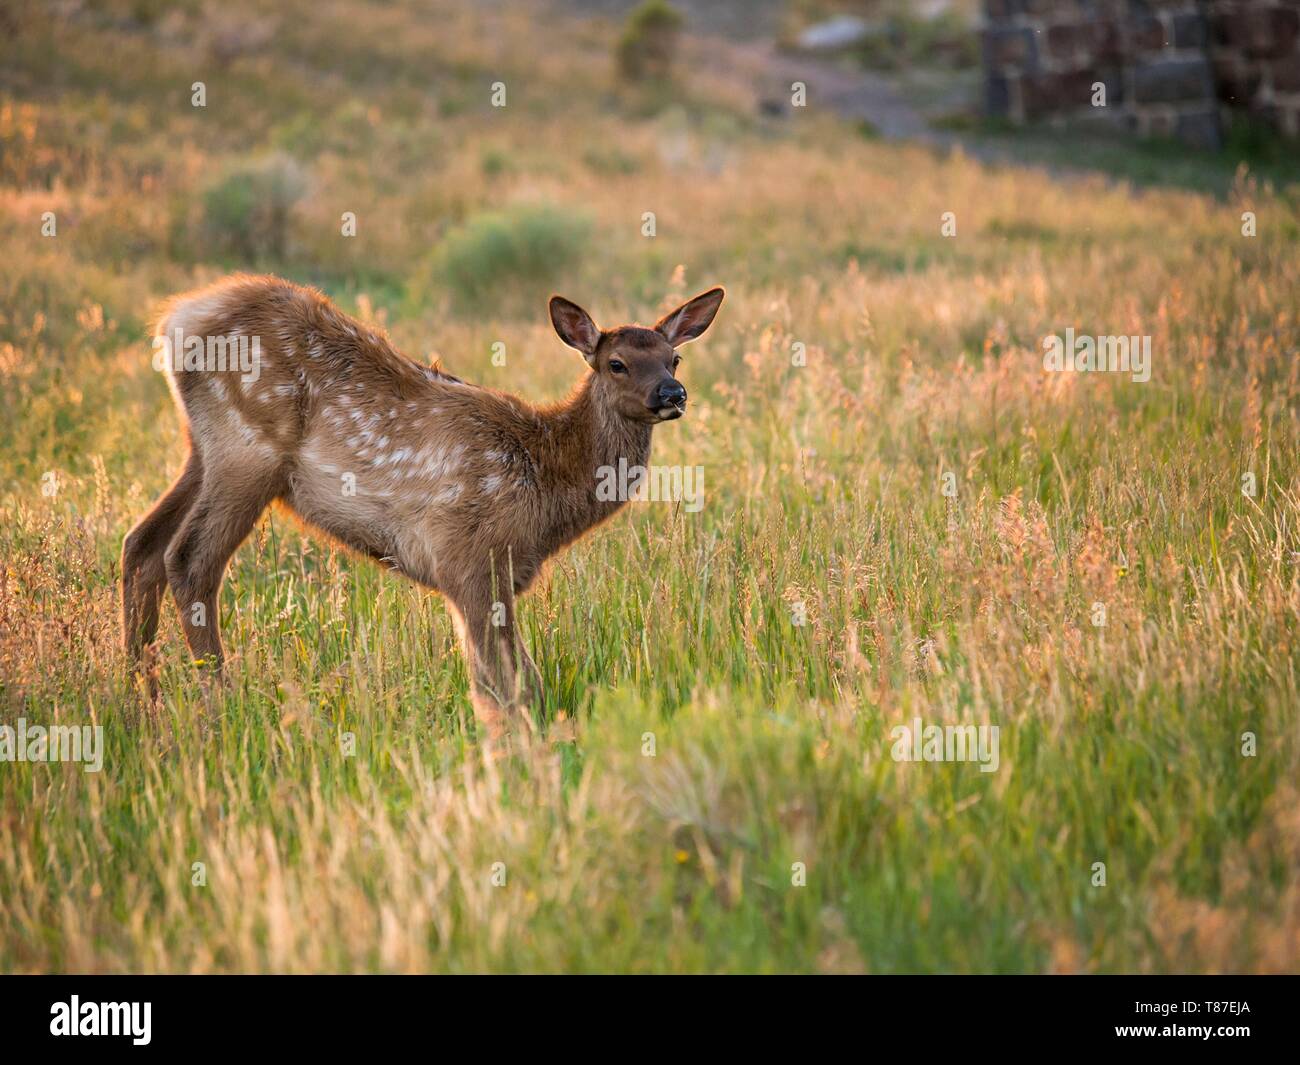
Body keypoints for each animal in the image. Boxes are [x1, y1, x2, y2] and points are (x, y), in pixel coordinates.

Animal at [120, 274, 722, 733]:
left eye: (675, 357)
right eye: (616, 363)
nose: (672, 394)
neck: (546, 491)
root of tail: (175, 320)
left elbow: (499, 683)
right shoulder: (470, 558)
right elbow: (512, 686)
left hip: (203, 451)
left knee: (141, 545)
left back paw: (139, 698)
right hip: (248, 448)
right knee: (189, 559)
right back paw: (220, 702)